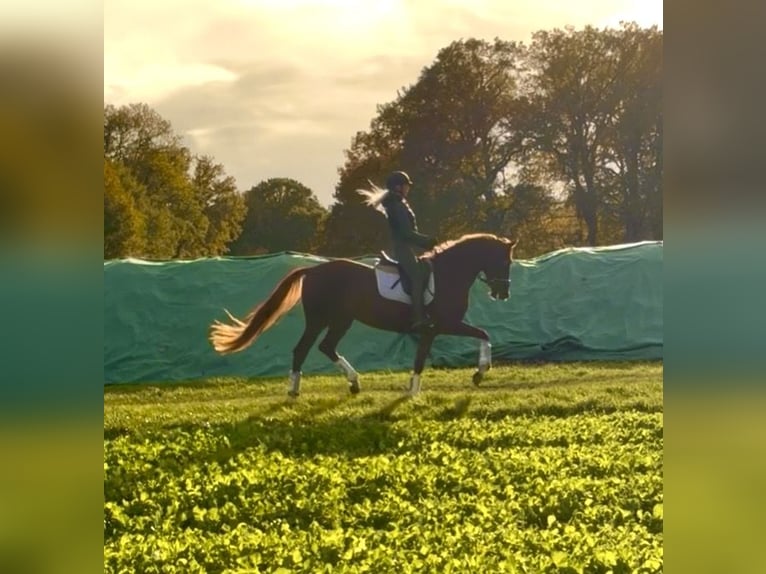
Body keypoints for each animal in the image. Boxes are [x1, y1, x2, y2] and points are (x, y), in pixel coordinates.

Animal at [209, 233, 518, 396]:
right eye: (506, 262)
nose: (503, 294)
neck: (448, 275)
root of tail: (313, 270)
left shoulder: (430, 331)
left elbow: (420, 360)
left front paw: (413, 390)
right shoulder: (445, 324)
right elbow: (483, 333)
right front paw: (480, 373)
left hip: (341, 320)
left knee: (325, 347)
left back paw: (354, 382)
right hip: (320, 319)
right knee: (303, 349)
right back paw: (295, 390)